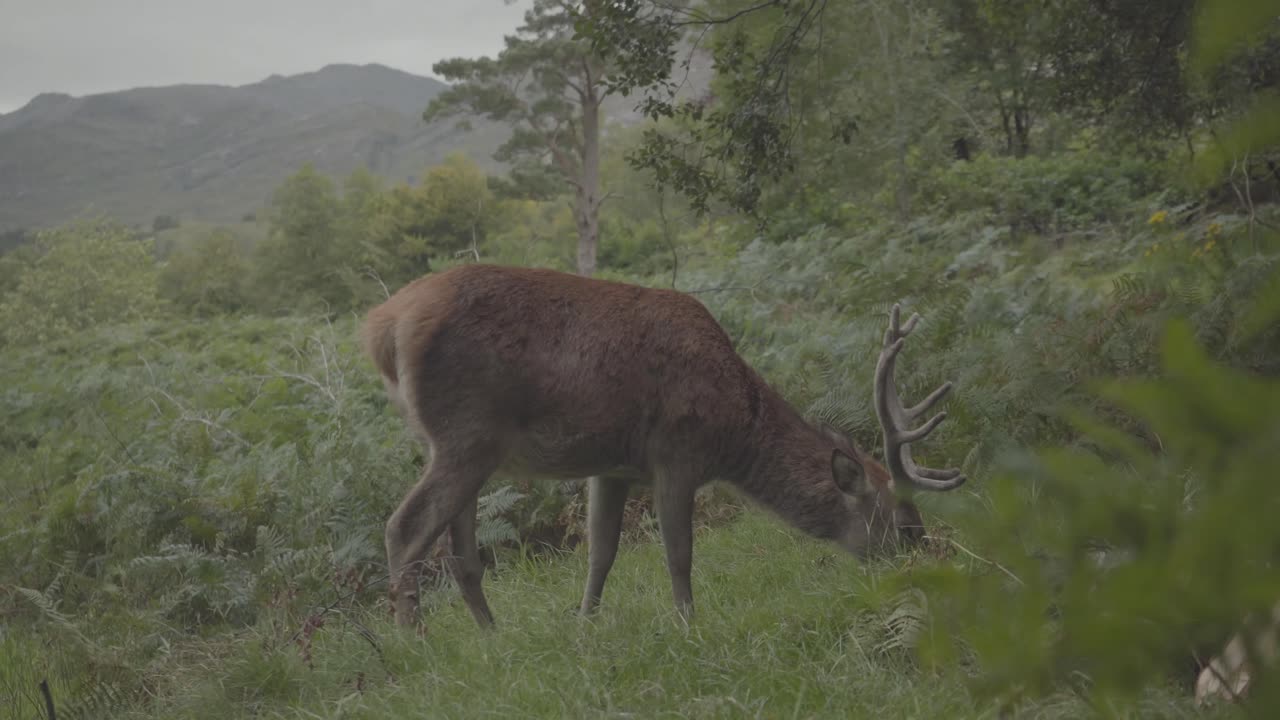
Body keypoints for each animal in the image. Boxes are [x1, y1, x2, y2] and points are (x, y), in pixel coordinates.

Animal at [360, 263, 967, 631]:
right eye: (905, 526)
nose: (928, 565)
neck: (734, 430)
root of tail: (384, 327)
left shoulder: (612, 466)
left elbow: (601, 553)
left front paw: (584, 626)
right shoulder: (677, 451)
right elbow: (678, 551)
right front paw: (688, 625)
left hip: (461, 447)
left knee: (461, 555)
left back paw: (492, 636)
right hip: (466, 434)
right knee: (404, 529)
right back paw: (414, 641)